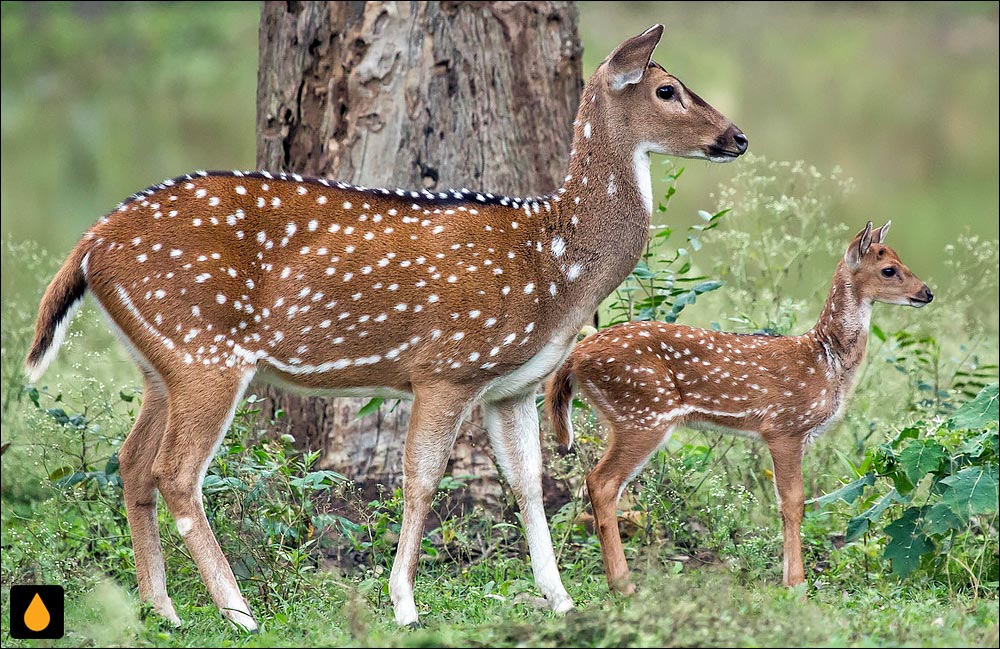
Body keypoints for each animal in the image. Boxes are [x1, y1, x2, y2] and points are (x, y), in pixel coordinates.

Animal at [23, 25, 748, 628]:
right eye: (668, 89)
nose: (738, 136)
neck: (554, 266)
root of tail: (90, 244)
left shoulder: (511, 386)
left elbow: (529, 485)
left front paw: (562, 598)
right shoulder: (446, 367)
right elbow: (420, 480)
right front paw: (403, 604)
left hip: (159, 361)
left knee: (130, 461)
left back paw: (163, 609)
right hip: (205, 351)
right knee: (175, 471)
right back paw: (238, 612)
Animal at [548, 221, 928, 592]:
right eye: (889, 269)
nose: (927, 292)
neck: (825, 360)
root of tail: (576, 357)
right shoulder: (785, 426)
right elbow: (793, 502)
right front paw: (796, 583)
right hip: (643, 412)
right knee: (602, 482)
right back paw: (623, 585)